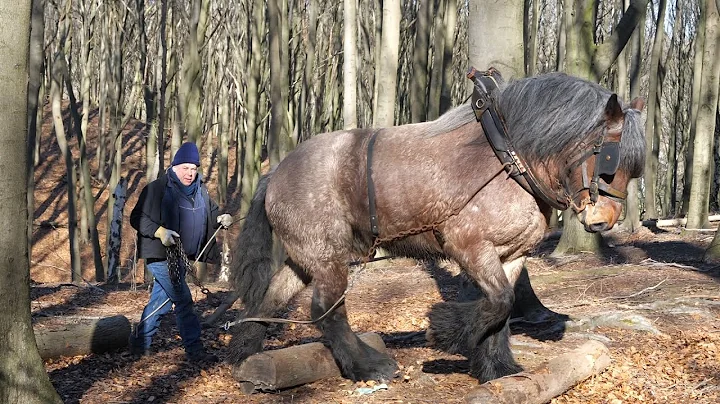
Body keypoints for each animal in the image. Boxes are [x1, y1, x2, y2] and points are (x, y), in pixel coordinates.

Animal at [227, 72, 645, 383]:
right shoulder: (468, 245)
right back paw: (368, 366)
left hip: (305, 258)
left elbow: (504, 308)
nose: (604, 220)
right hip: (328, 257)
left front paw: (497, 368)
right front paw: (444, 330)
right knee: (326, 309)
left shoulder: (513, 255)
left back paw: (246, 354)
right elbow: (498, 300)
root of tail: (275, 175)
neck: (509, 160)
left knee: (271, 298)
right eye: (609, 157)